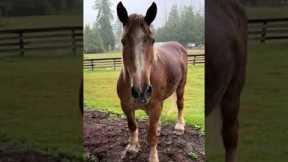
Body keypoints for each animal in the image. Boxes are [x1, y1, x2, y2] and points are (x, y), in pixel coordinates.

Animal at [116, 1, 188, 162]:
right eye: (123, 41)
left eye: (152, 40)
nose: (141, 91)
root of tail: (178, 45)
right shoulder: (126, 106)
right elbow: (132, 126)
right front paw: (133, 147)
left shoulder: (155, 105)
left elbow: (151, 136)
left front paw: (153, 157)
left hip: (181, 86)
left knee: (180, 104)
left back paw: (180, 126)